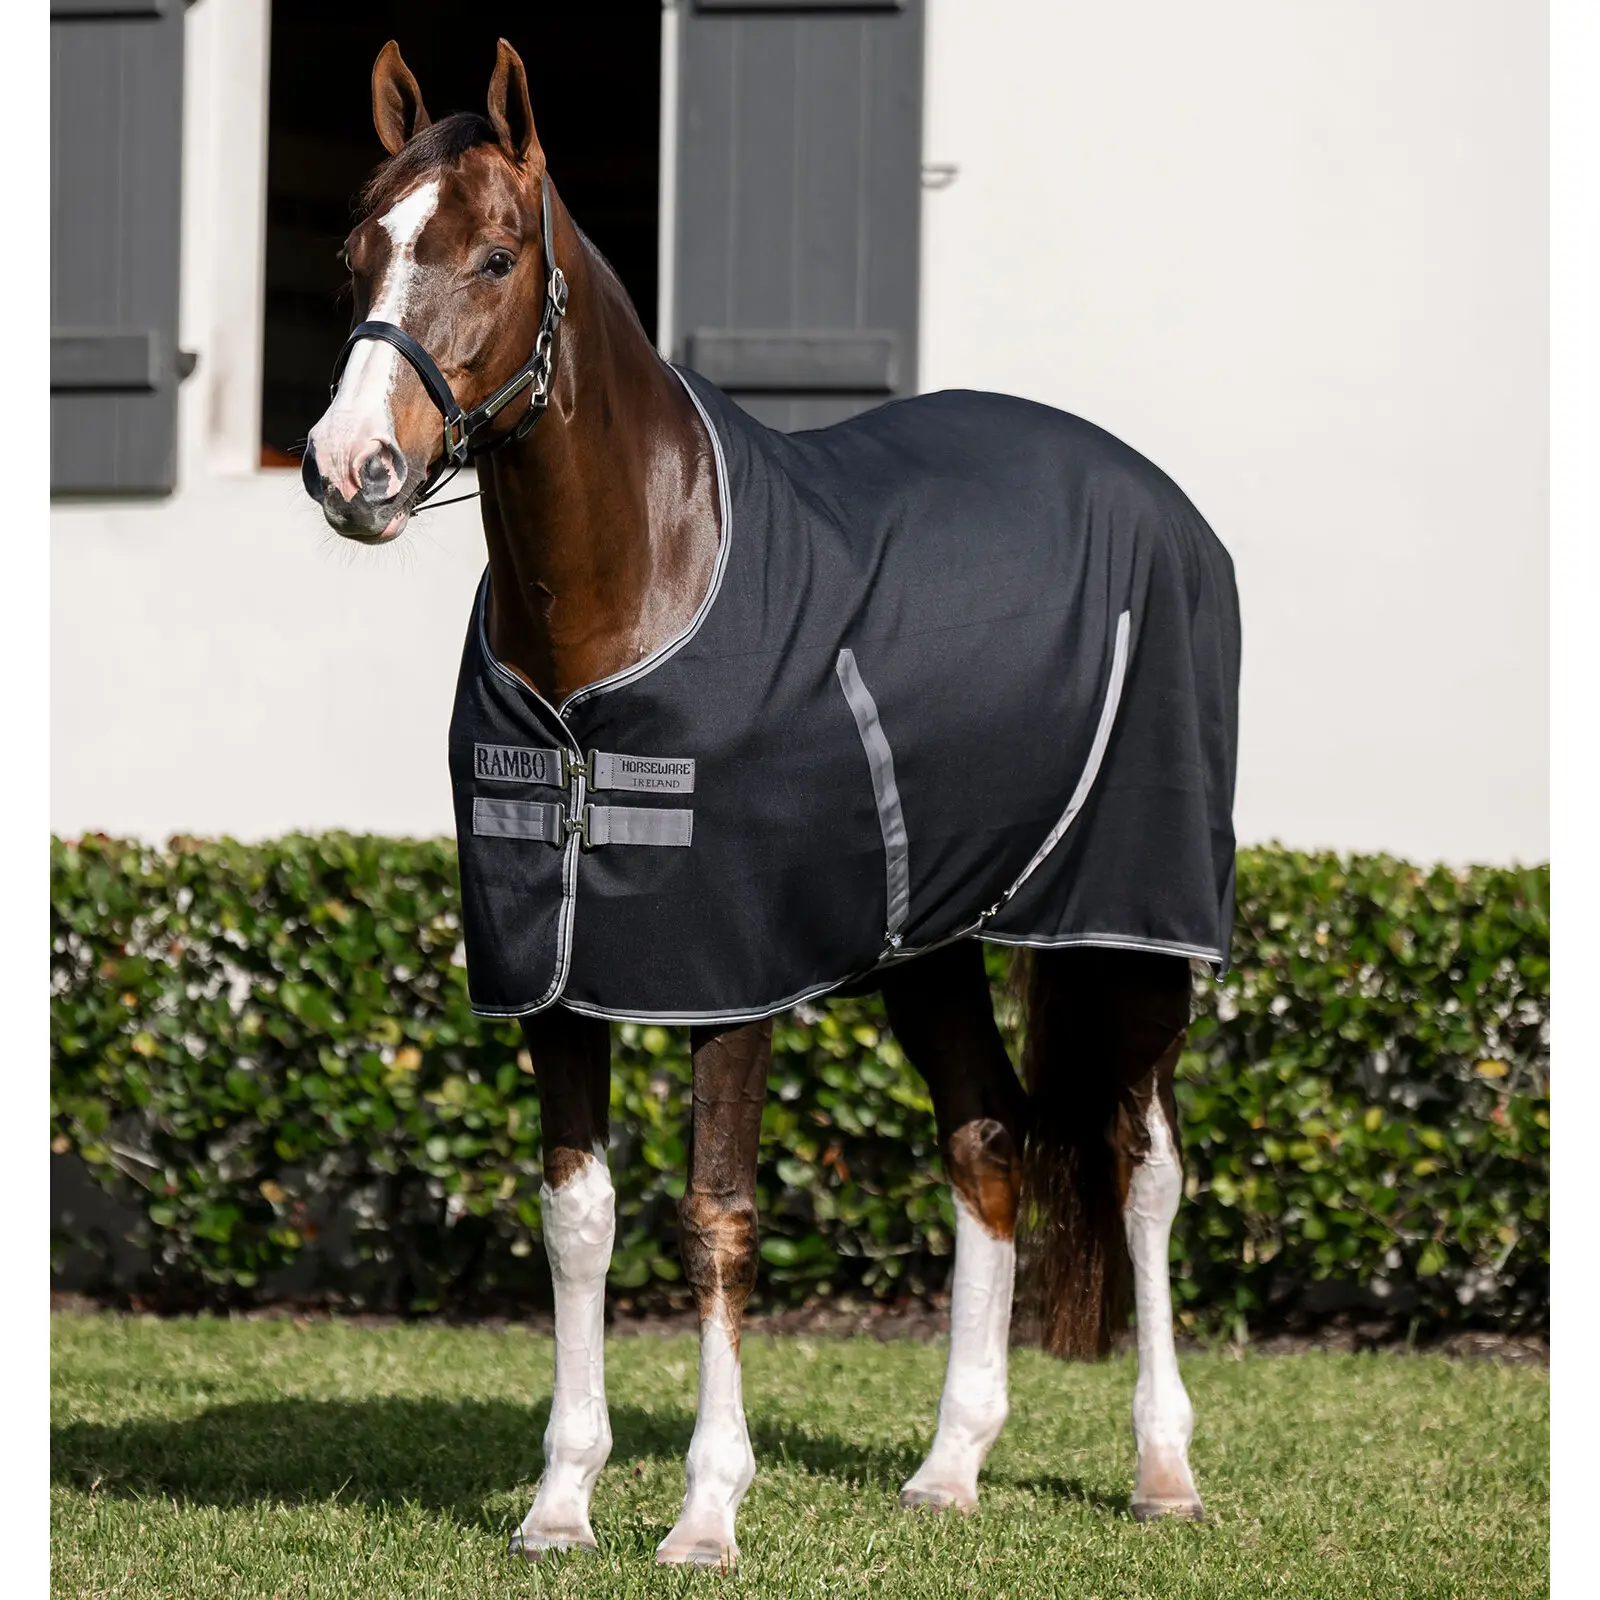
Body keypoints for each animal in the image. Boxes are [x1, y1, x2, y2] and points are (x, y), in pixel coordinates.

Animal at [301, 39, 1239, 1570]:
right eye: (356, 253)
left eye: (494, 254)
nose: (347, 468)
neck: (635, 592)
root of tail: (1160, 500)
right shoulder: (554, 978)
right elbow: (577, 1219)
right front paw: (560, 1502)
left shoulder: (725, 980)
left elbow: (717, 1221)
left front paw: (704, 1513)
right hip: (932, 941)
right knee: (988, 1144)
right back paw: (949, 1467)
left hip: (1131, 924)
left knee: (1139, 1160)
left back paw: (1164, 1469)